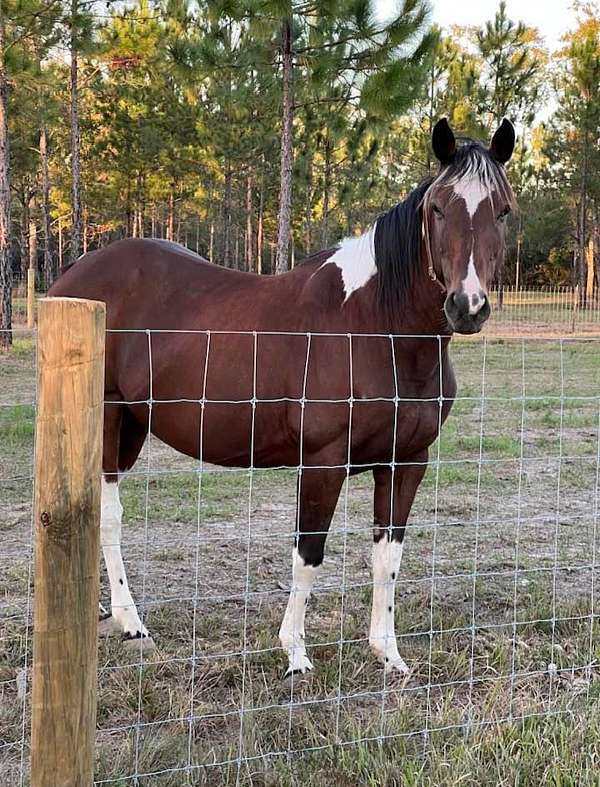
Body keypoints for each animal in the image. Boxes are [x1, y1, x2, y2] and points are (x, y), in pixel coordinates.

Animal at [49, 117, 516, 676]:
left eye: (503, 209)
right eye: (439, 208)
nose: (468, 306)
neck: (375, 328)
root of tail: (71, 280)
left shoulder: (406, 462)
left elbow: (388, 558)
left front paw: (388, 653)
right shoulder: (322, 462)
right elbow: (308, 552)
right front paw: (294, 652)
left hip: (134, 425)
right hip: (107, 419)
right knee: (110, 516)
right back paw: (132, 623)